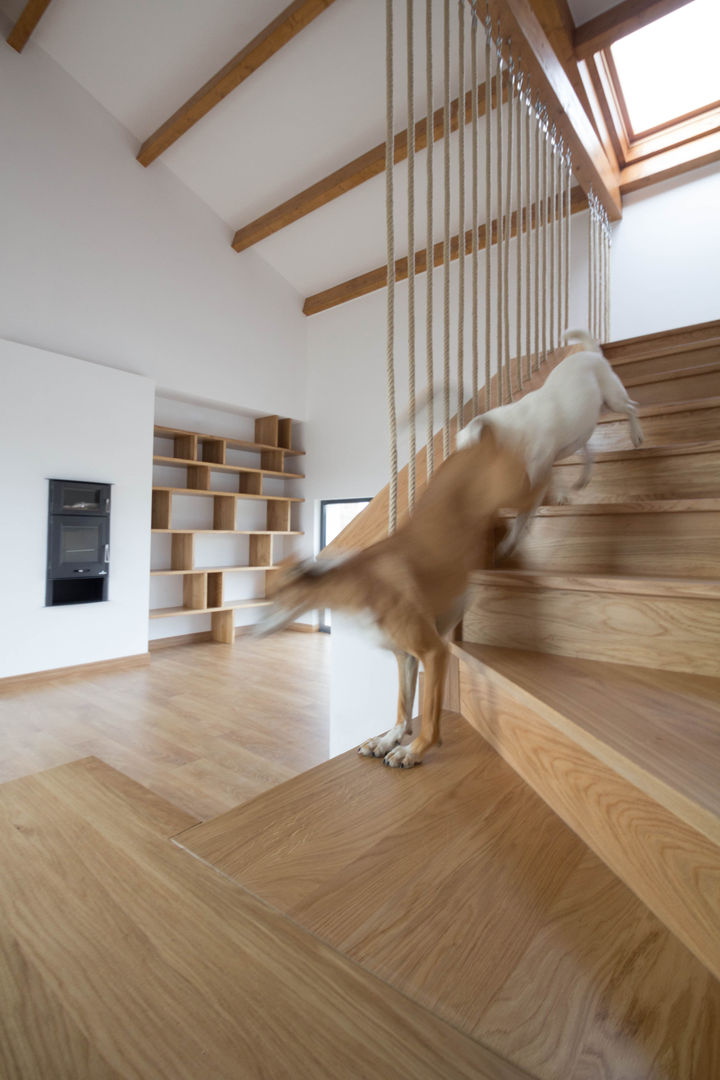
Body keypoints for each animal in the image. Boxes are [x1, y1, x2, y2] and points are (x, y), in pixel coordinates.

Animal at [255, 423, 533, 768]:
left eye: (277, 595)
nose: (253, 630)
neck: (359, 584)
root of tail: (478, 443)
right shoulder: (405, 657)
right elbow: (403, 705)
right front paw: (388, 739)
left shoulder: (434, 652)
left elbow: (429, 714)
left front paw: (414, 750)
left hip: (513, 488)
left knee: (539, 493)